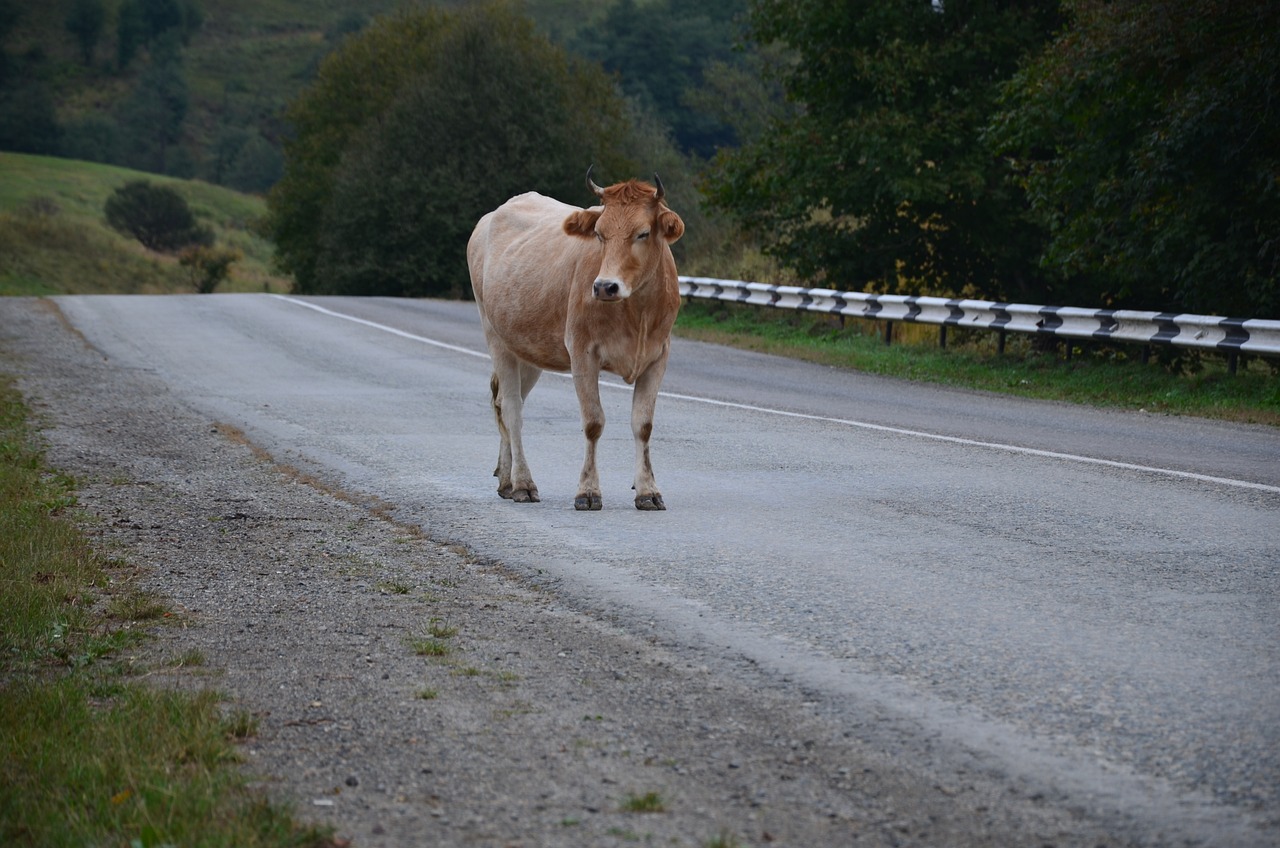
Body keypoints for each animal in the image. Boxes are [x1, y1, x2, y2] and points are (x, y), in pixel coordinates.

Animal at [471, 169, 686, 507]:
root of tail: (492, 215)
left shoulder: (658, 357)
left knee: (506, 402)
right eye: (599, 233)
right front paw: (587, 491)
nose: (604, 286)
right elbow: (593, 422)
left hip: (528, 349)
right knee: (512, 409)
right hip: (495, 336)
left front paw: (648, 490)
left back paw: (506, 479)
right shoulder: (583, 353)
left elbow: (643, 425)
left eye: (642, 233)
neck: (637, 312)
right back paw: (522, 484)